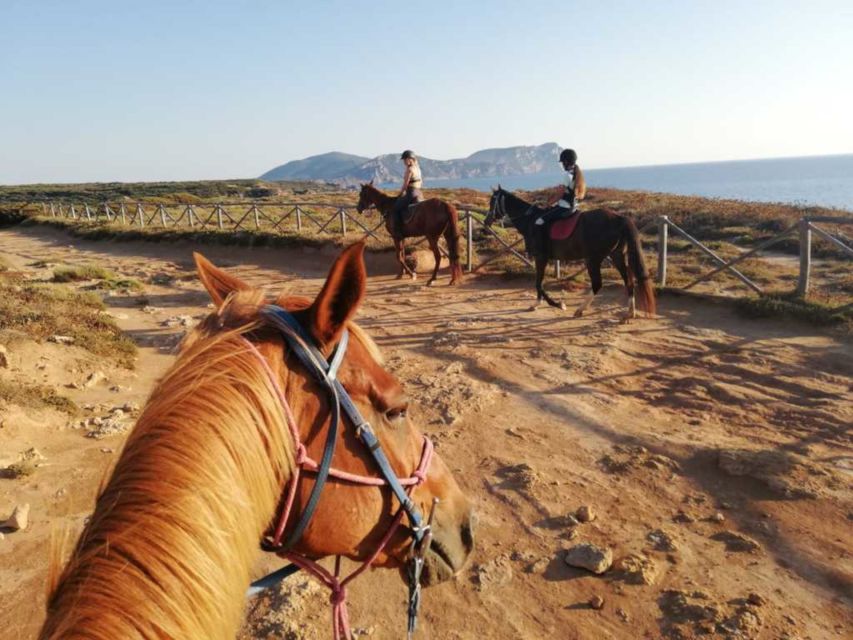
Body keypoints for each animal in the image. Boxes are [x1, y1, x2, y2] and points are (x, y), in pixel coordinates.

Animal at [482, 188, 656, 322]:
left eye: (492, 201)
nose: (486, 221)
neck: (531, 220)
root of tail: (619, 218)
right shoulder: (541, 258)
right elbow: (538, 282)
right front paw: (537, 304)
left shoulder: (540, 257)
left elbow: (539, 283)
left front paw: (557, 304)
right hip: (616, 255)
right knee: (628, 281)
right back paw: (630, 313)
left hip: (593, 259)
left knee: (598, 283)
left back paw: (580, 309)